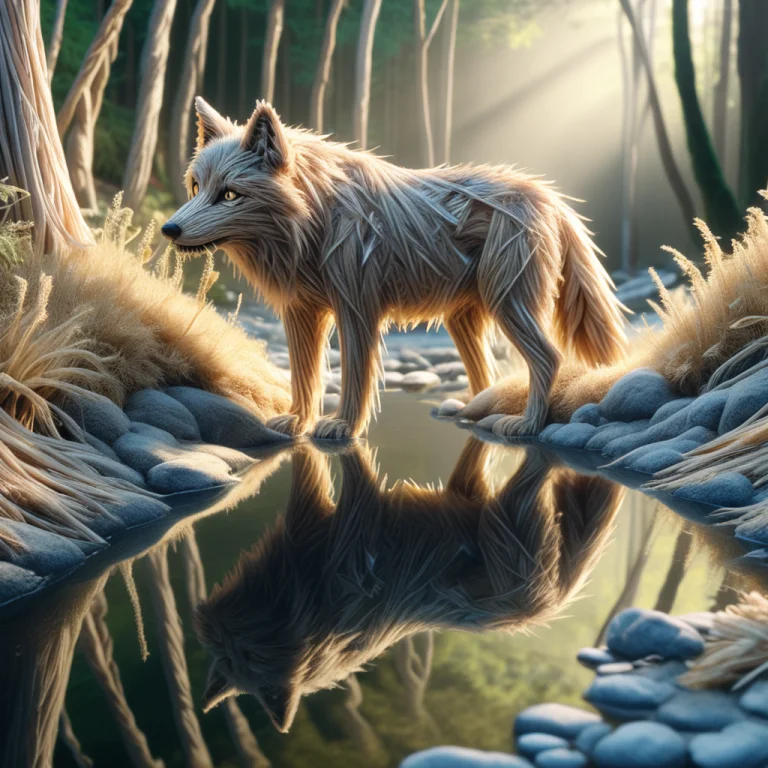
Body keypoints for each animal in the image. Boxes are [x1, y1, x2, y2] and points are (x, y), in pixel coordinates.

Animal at [162, 98, 627, 439]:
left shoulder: (357, 311)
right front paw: (297, 421)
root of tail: (551, 197)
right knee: (489, 373)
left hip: (507, 303)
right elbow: (304, 376)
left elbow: (355, 378)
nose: (169, 229)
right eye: (196, 187)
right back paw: (473, 410)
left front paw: (341, 427)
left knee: (549, 357)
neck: (315, 218)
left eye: (229, 194)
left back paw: (528, 425)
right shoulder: (301, 313)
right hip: (464, 319)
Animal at [194, 439, 622, 732]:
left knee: (536, 473)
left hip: (511, 525)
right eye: (231, 657)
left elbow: (321, 467)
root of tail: (551, 601)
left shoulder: (338, 527)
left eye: (244, 654)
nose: (211, 624)